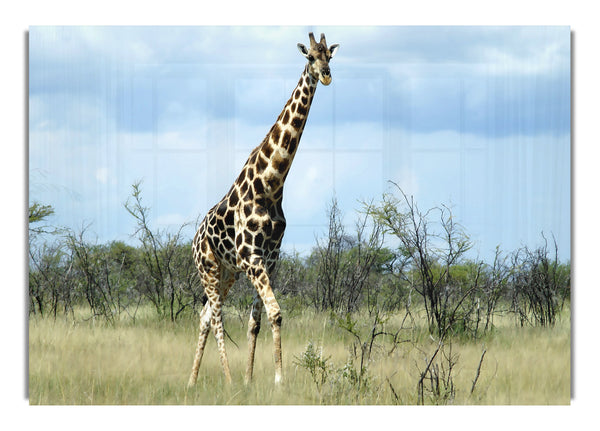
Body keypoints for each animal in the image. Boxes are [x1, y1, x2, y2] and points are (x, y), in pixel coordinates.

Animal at [188, 32, 338, 386]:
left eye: (330, 55)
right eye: (310, 57)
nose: (326, 75)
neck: (270, 186)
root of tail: (194, 239)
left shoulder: (270, 259)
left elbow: (258, 319)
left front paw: (251, 379)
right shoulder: (253, 259)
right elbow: (275, 312)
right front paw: (276, 380)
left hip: (227, 271)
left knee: (204, 316)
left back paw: (192, 381)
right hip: (208, 268)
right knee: (216, 317)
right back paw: (225, 379)